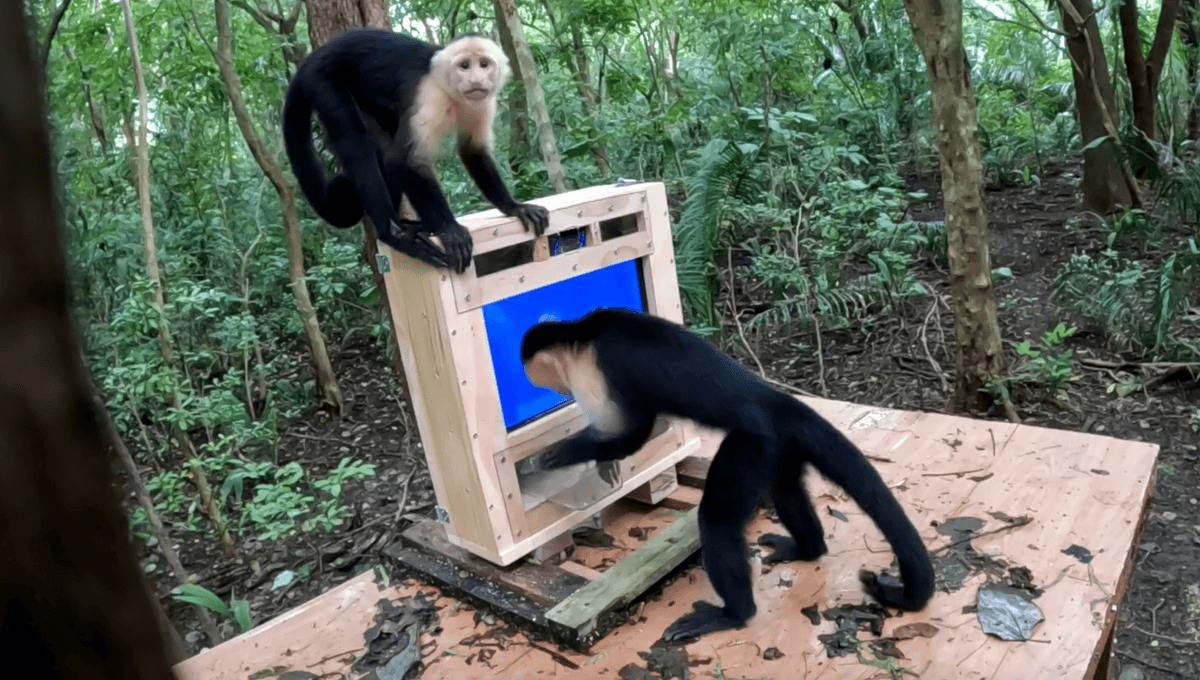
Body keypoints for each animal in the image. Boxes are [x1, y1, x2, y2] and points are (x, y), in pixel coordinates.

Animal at [282, 29, 549, 274]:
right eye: (464, 66)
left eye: (484, 64)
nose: (475, 79)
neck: (452, 93)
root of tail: (313, 59)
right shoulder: (431, 96)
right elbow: (404, 160)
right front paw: (448, 230)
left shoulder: (482, 103)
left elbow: (473, 151)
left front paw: (514, 207)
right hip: (323, 81)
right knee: (356, 144)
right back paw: (392, 233)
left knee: (383, 143)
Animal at [519, 308, 935, 642]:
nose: (542, 386)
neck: (585, 333)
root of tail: (775, 401)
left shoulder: (594, 369)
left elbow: (633, 432)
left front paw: (549, 458)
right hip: (779, 446)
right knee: (785, 490)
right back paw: (807, 548)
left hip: (752, 445)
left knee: (716, 519)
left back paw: (733, 615)